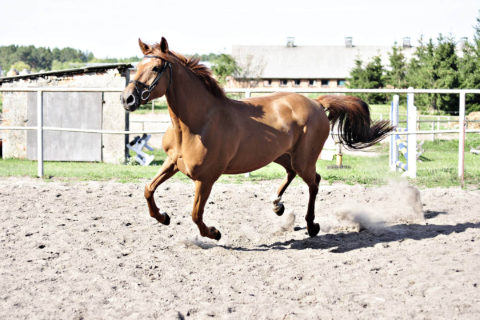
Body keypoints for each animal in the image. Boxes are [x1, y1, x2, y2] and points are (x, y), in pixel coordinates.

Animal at [122, 38, 392, 240]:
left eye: (156, 68)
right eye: (137, 67)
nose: (128, 99)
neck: (198, 124)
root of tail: (316, 103)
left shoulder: (206, 178)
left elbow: (196, 214)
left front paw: (214, 233)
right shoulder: (173, 163)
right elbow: (148, 189)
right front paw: (163, 217)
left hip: (303, 159)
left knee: (314, 181)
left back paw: (311, 225)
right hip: (281, 155)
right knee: (292, 174)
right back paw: (277, 204)